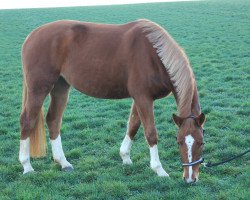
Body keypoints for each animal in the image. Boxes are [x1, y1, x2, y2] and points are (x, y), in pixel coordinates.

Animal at [19, 18, 206, 183]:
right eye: (179, 142)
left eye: (202, 142)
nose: (190, 178)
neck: (154, 55)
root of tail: (31, 36)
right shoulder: (143, 98)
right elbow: (151, 133)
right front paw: (159, 169)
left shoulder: (140, 98)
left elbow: (133, 126)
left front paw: (125, 157)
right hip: (39, 88)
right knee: (28, 120)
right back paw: (27, 166)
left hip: (60, 87)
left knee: (53, 120)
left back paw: (63, 162)